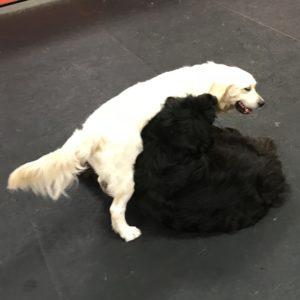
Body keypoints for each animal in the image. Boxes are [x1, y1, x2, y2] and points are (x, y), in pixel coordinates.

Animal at [7, 61, 264, 241]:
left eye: (255, 87)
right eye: (246, 89)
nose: (262, 103)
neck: (205, 82)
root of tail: (88, 133)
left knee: (103, 181)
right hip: (126, 179)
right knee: (115, 209)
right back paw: (126, 232)